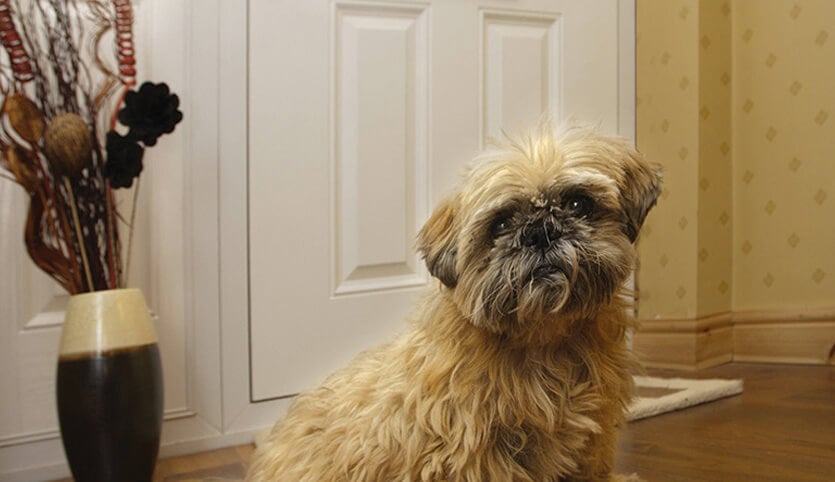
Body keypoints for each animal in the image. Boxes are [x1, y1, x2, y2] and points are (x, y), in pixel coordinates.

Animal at [247, 124, 660, 482]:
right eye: (500, 224)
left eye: (578, 203)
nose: (540, 232)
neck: (546, 340)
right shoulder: (474, 455)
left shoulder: (592, 442)